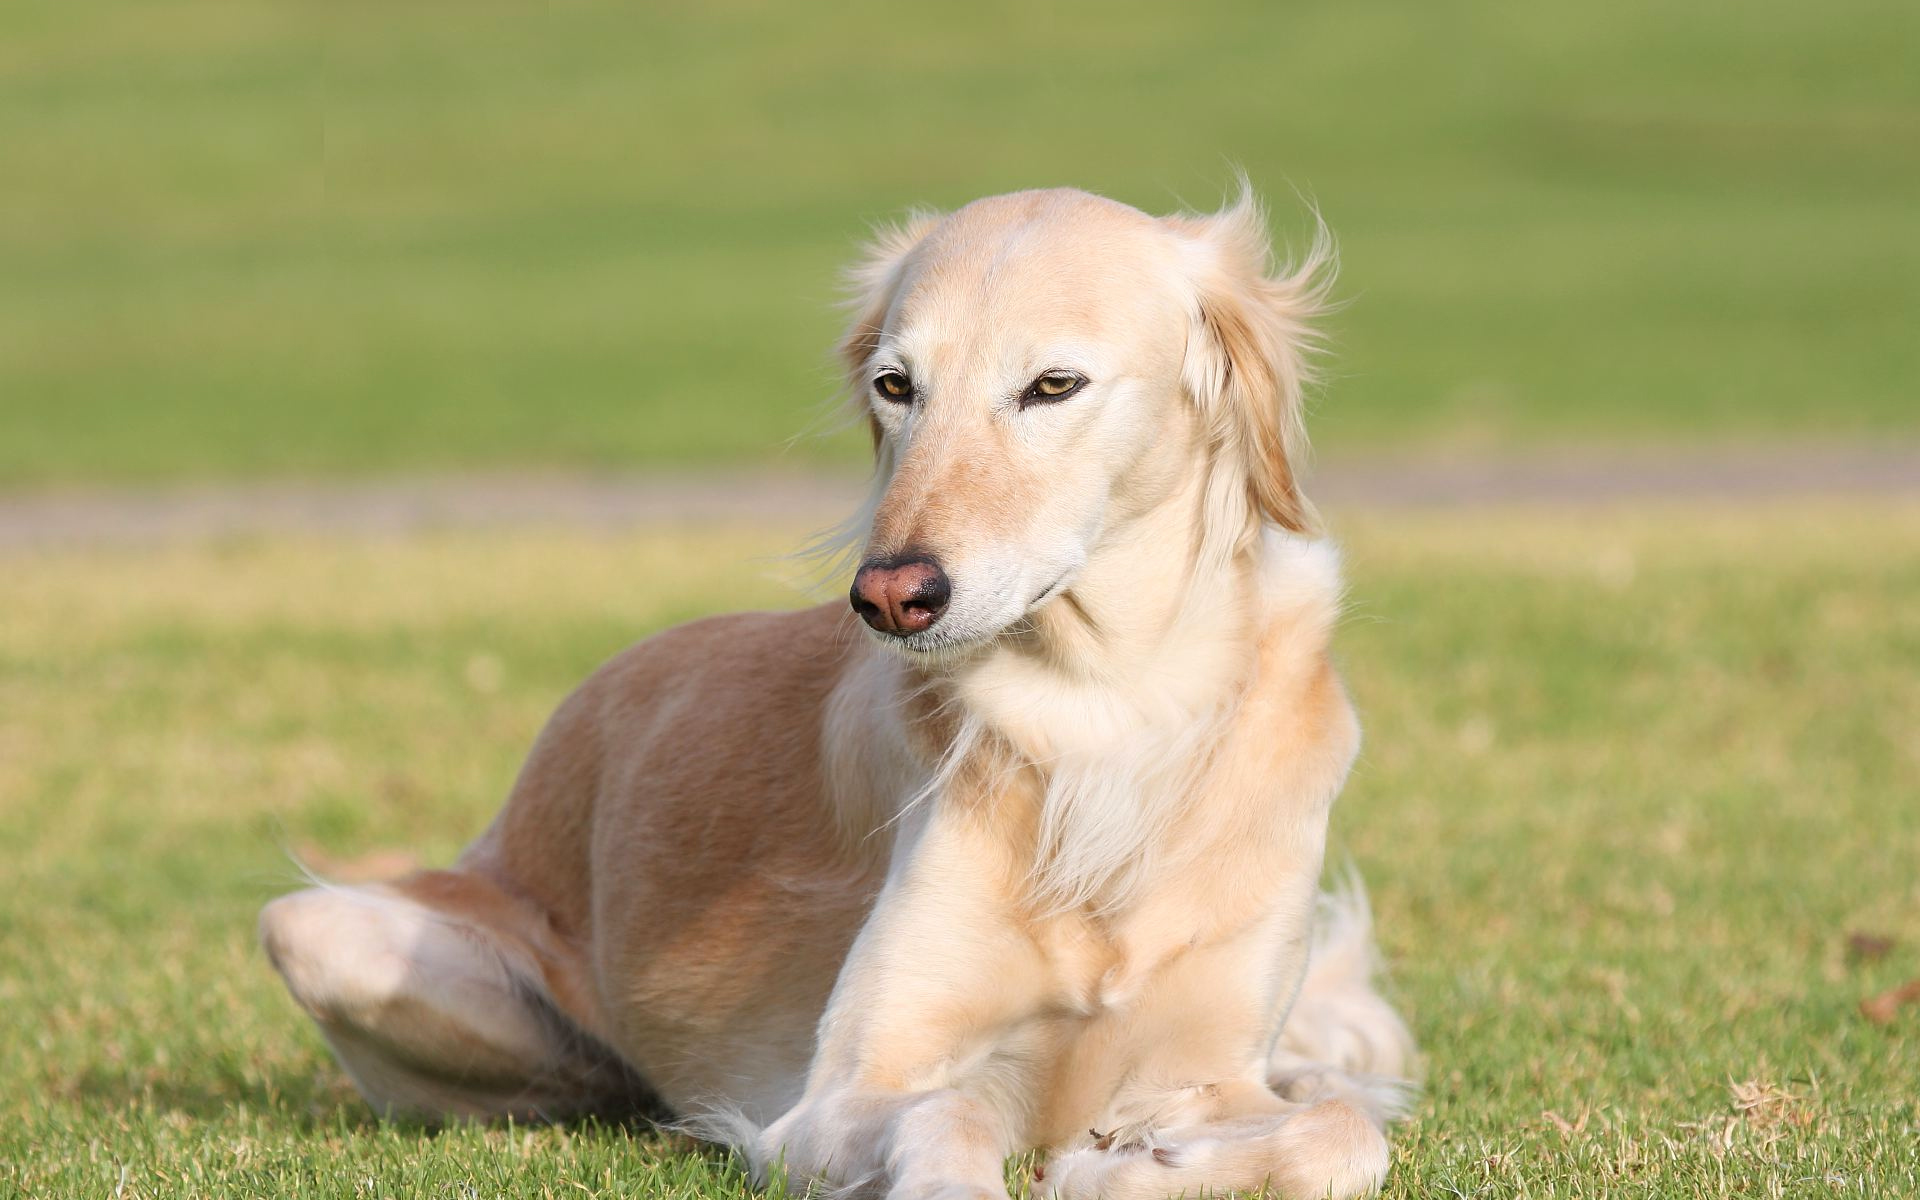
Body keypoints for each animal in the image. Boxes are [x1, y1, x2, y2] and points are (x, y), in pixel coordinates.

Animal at [263, 185, 1420, 1198]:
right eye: (895, 385)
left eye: (1054, 385)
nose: (889, 597)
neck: (1105, 709)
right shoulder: (837, 1095)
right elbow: (949, 1112)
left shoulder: (1211, 1068)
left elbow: (1340, 1136)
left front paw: (1134, 1165)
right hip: (325, 936)